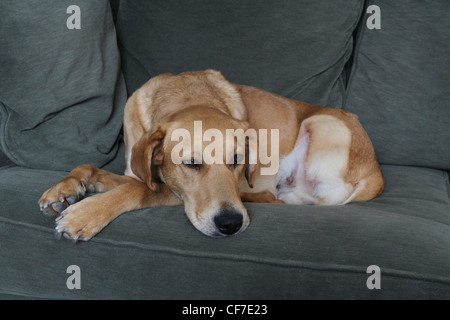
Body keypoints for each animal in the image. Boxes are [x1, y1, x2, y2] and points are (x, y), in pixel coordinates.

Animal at [38, 70, 384, 240]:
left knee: (281, 199)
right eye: (191, 163)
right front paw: (65, 189)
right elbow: (92, 168)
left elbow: (136, 190)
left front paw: (85, 214)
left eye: (237, 160)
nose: (230, 224)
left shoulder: (171, 191)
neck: (186, 96)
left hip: (321, 125)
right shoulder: (136, 171)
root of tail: (377, 173)